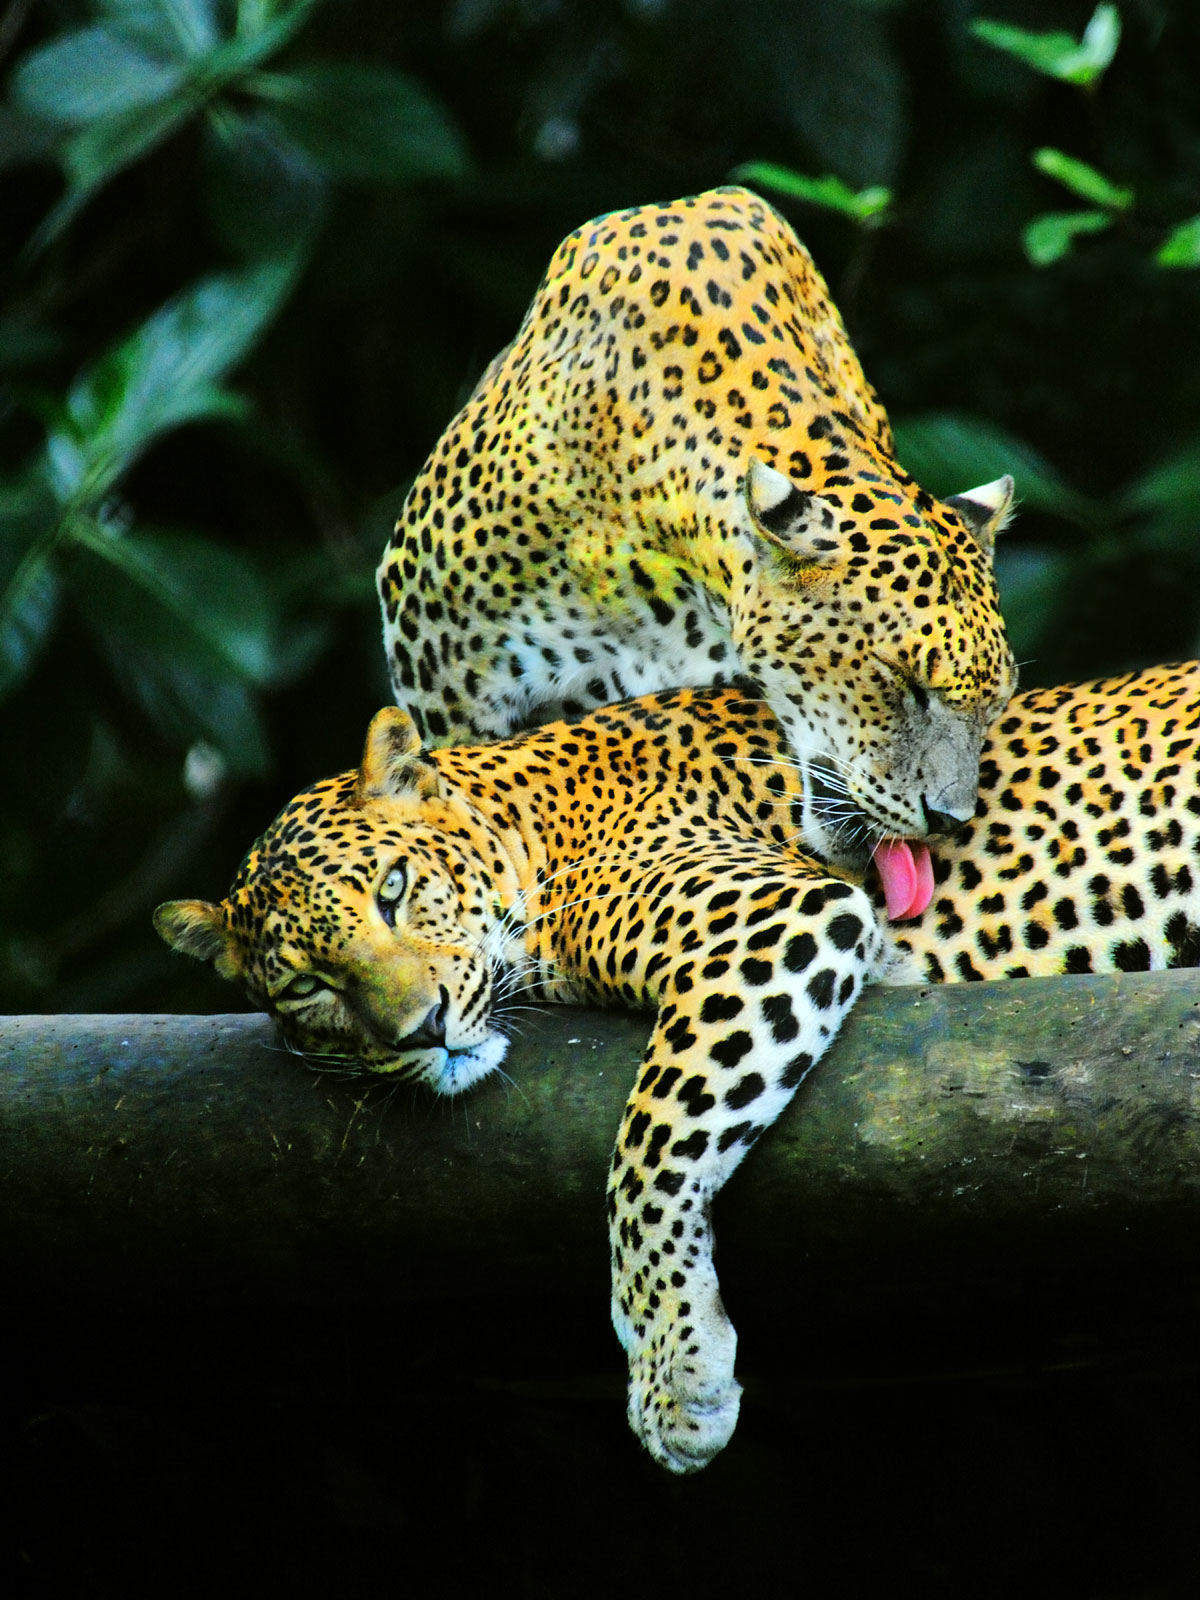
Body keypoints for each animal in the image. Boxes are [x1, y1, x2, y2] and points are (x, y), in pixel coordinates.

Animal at [156, 660, 1200, 1474]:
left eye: (395, 889)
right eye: (308, 986)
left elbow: (650, 1150)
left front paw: (675, 1369)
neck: (531, 818)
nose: (422, 1029)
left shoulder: (780, 922)